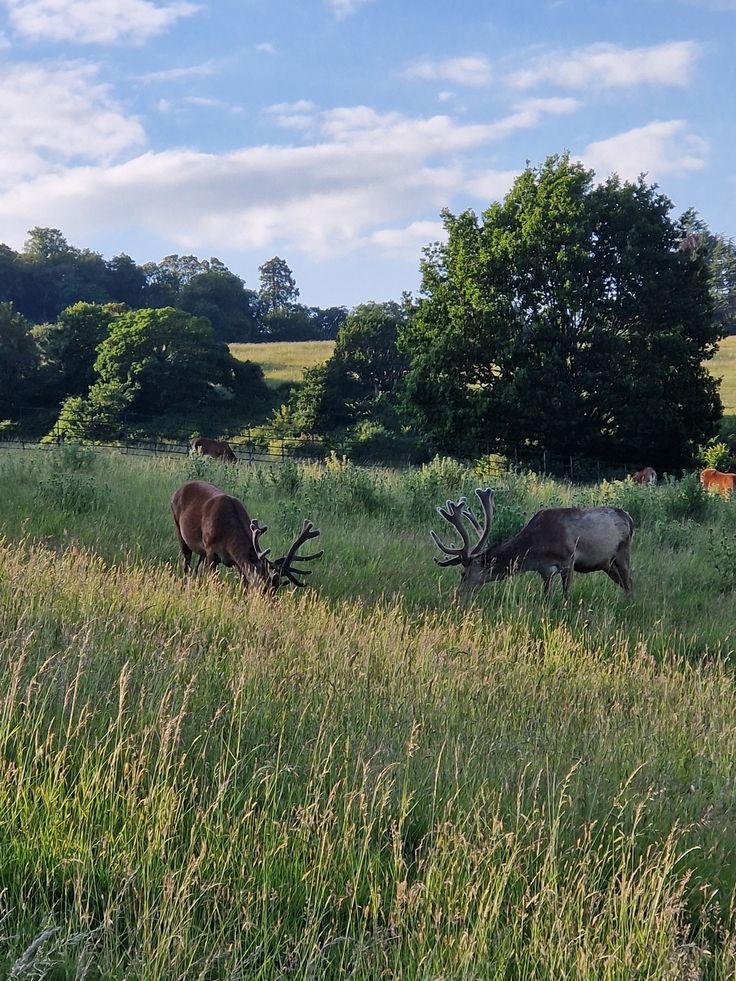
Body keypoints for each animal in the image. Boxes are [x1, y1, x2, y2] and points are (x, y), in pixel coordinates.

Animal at [171, 480, 323, 591]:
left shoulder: (237, 559)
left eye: (277, 587)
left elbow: (243, 584)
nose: (271, 605)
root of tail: (179, 489)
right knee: (186, 564)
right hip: (179, 529)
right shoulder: (210, 549)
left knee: (197, 568)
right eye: (263, 587)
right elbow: (213, 580)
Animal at [431, 487, 634, 602]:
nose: (457, 595)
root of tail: (629, 518)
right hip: (607, 564)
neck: (536, 548)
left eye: (463, 573)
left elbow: (567, 595)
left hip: (623, 553)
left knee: (629, 583)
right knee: (625, 585)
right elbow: (546, 596)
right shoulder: (544, 571)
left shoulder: (568, 559)